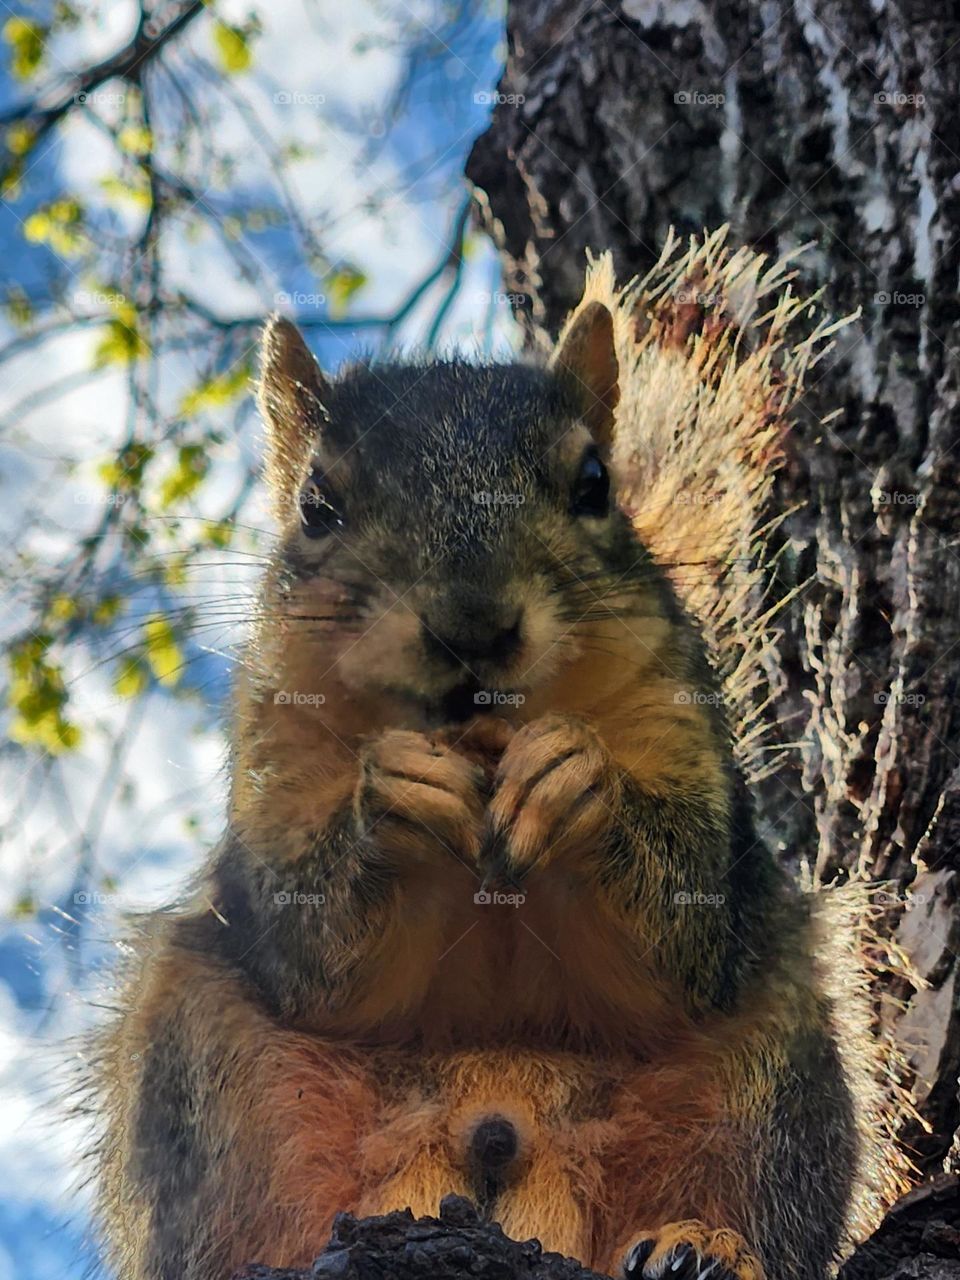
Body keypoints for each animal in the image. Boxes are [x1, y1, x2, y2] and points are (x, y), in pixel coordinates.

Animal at [89, 232, 909, 1280]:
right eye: (317, 506)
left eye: (595, 484)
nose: (472, 627)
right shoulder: (275, 749)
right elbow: (310, 942)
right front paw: (393, 797)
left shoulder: (677, 716)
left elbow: (683, 924)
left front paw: (576, 779)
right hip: (213, 1067)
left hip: (770, 1066)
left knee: (757, 1189)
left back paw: (704, 1244)